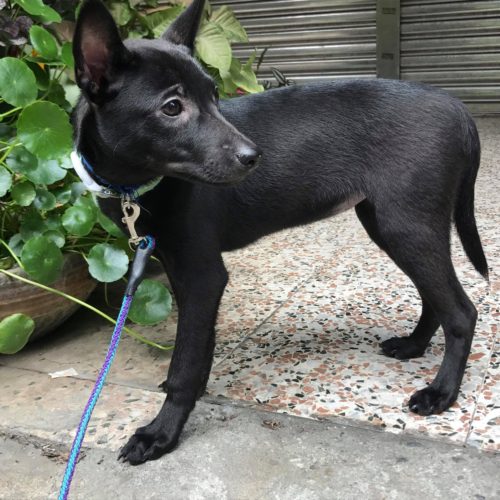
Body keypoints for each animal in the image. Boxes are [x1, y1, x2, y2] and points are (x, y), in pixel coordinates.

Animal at [72, 0, 488, 465]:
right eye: (172, 108)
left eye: (215, 96)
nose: (253, 157)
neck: (138, 186)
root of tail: (458, 109)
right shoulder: (180, 269)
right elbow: (198, 348)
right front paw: (193, 391)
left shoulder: (203, 275)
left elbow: (185, 361)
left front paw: (161, 432)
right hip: (393, 225)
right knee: (435, 296)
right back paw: (413, 346)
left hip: (407, 224)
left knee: (461, 312)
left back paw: (441, 393)